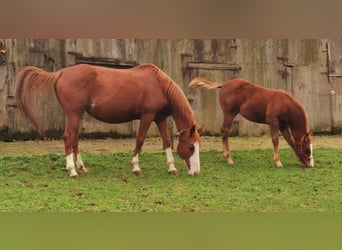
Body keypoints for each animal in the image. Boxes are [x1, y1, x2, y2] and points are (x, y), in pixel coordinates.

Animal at [15, 63, 203, 177]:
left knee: (74, 139)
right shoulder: (147, 116)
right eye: (191, 147)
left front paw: (172, 167)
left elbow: (167, 141)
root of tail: (61, 72)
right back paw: (72, 170)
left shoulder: (160, 118)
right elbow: (140, 139)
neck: (159, 85)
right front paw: (136, 167)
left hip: (77, 115)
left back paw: (81, 167)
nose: (196, 172)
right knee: (68, 137)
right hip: (73, 113)